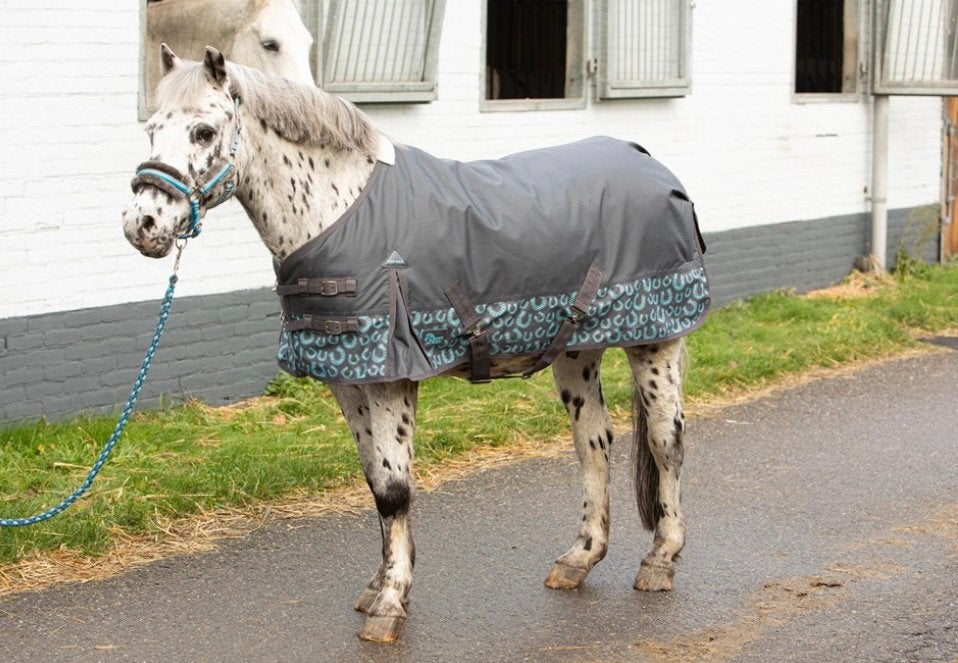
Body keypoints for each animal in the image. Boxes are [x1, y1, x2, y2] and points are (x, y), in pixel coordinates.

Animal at [122, 46, 710, 643]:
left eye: (203, 130)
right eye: (151, 129)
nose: (142, 224)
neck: (339, 210)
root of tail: (649, 160)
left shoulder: (389, 377)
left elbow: (394, 489)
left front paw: (390, 604)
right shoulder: (349, 379)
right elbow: (374, 481)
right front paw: (379, 586)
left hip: (656, 344)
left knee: (666, 443)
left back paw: (660, 561)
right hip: (576, 352)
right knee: (593, 444)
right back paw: (579, 558)